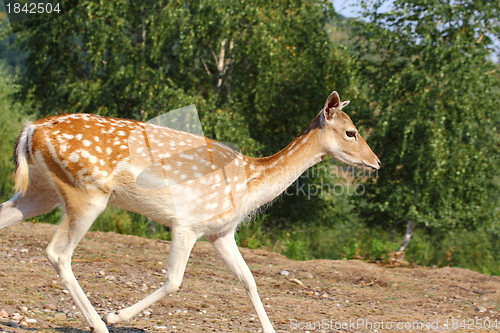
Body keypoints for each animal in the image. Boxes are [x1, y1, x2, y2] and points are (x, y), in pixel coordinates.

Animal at [0, 91, 380, 332]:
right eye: (351, 132)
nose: (376, 162)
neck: (250, 184)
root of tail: (32, 129)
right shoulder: (187, 223)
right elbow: (174, 281)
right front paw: (116, 316)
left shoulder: (221, 232)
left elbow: (249, 279)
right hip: (87, 193)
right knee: (58, 252)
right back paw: (98, 323)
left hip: (40, 191)